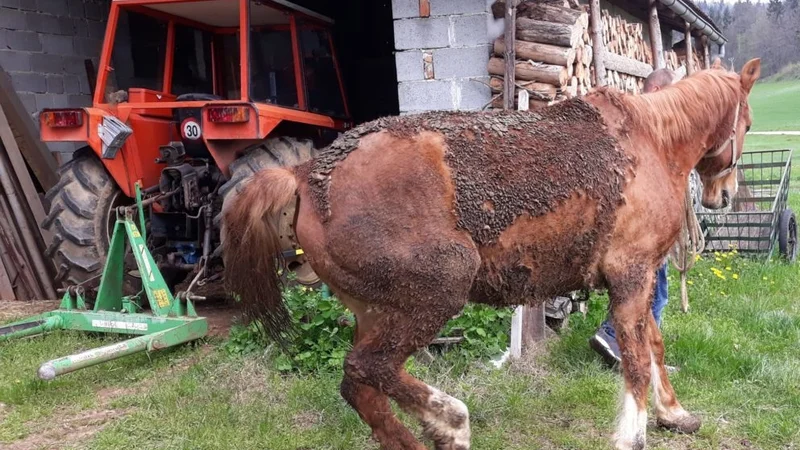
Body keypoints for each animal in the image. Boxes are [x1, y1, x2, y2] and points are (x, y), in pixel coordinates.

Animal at [220, 59, 764, 450]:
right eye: (749, 122)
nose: (723, 196)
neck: (651, 139)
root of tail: (303, 175)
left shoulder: (641, 275)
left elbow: (654, 345)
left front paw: (674, 414)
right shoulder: (631, 274)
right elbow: (635, 359)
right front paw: (633, 434)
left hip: (375, 310)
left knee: (359, 386)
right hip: (438, 290)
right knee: (367, 368)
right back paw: (451, 422)